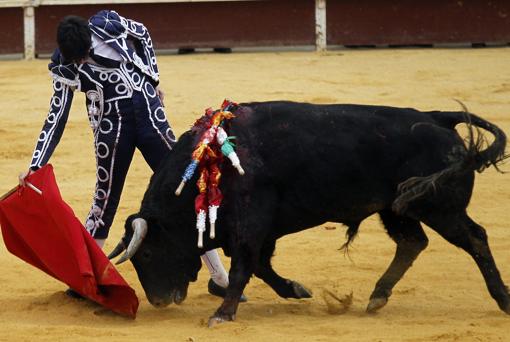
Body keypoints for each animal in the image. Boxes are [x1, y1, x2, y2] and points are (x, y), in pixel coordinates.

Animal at [106, 101, 506, 324]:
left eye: (148, 254)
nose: (158, 301)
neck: (212, 159)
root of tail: (438, 118)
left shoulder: (251, 225)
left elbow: (243, 268)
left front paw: (222, 314)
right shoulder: (260, 231)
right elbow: (261, 267)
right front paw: (296, 289)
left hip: (440, 207)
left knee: (474, 238)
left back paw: (503, 299)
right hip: (397, 209)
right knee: (411, 242)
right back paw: (377, 296)